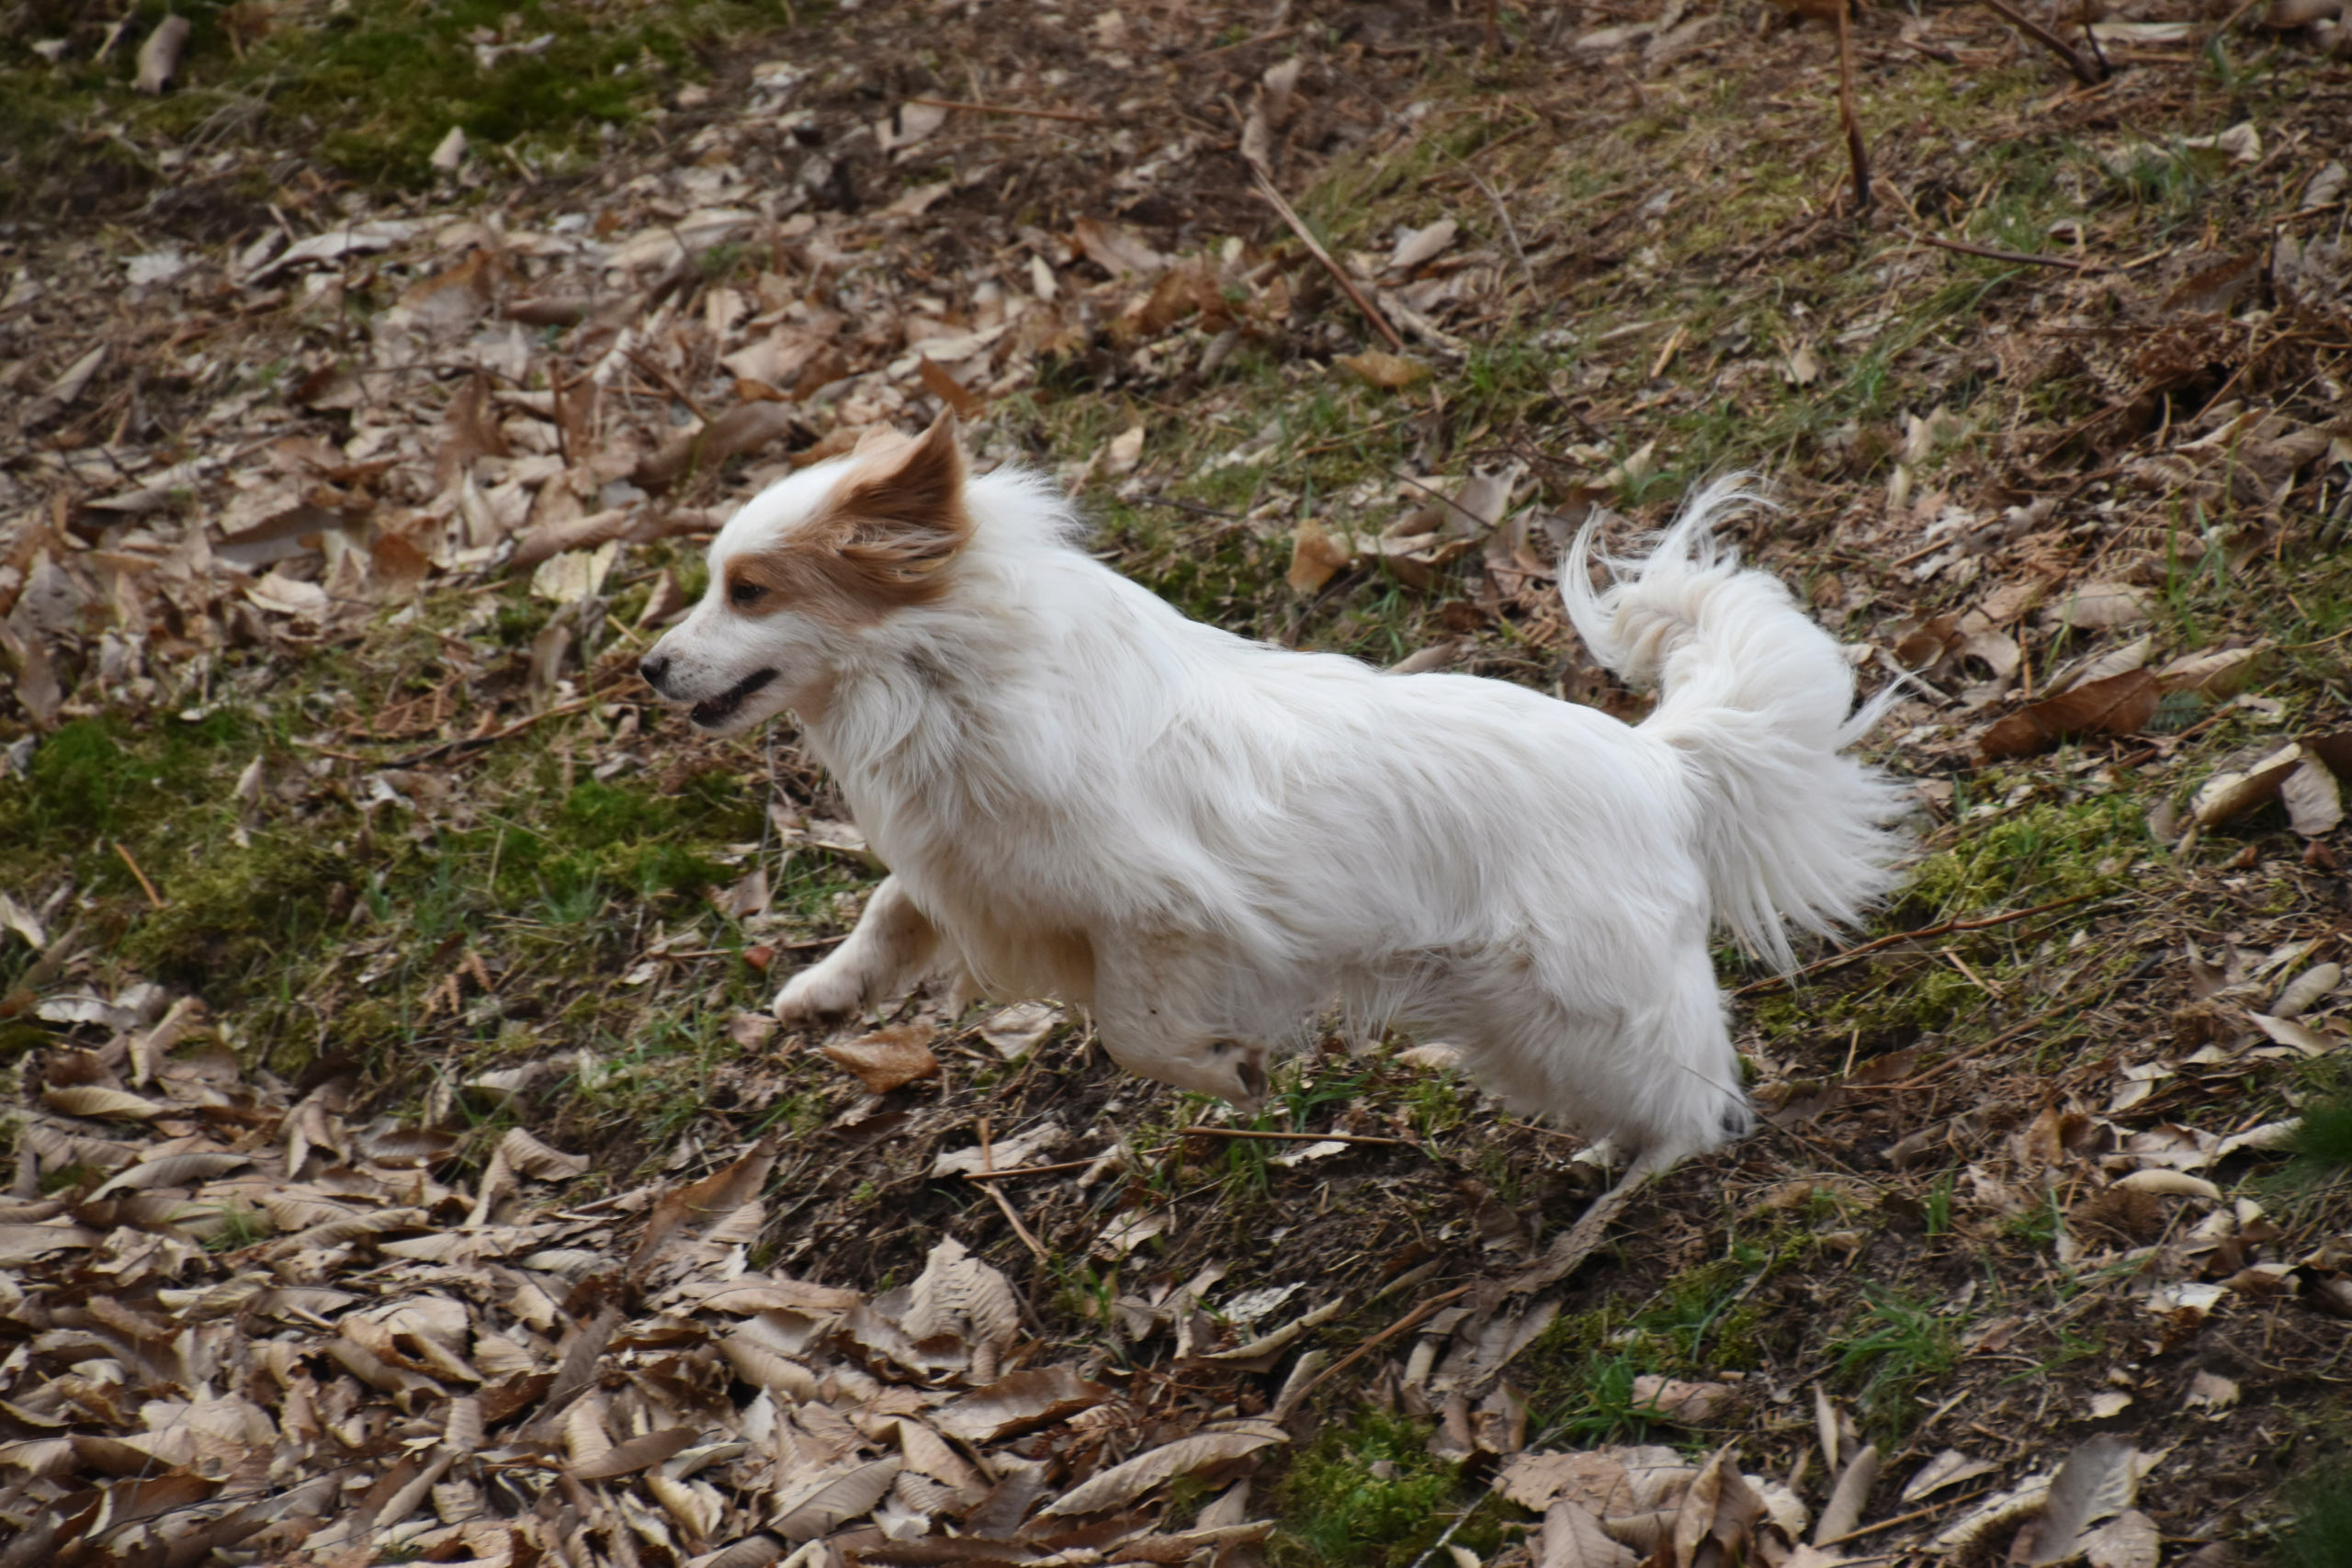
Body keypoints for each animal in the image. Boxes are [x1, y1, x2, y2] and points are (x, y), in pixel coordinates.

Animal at [644, 413, 1909, 1175]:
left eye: (749, 592)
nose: (648, 668)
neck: (943, 685)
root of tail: (1652, 763)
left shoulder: (1163, 917)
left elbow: (1133, 1033)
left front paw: (1225, 1072)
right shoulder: (965, 866)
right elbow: (891, 904)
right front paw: (825, 991)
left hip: (1589, 1000)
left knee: (1698, 1094)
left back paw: (1643, 1182)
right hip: (1524, 1026)